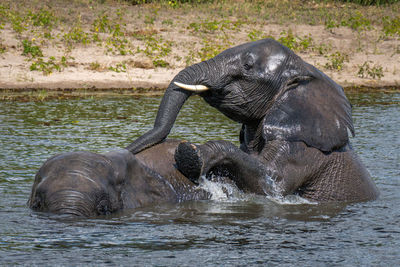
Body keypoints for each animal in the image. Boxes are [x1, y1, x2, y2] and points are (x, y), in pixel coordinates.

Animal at [126, 38, 380, 203]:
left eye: (247, 67)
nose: (128, 151)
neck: (305, 69)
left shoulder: (302, 148)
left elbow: (272, 185)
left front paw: (190, 154)